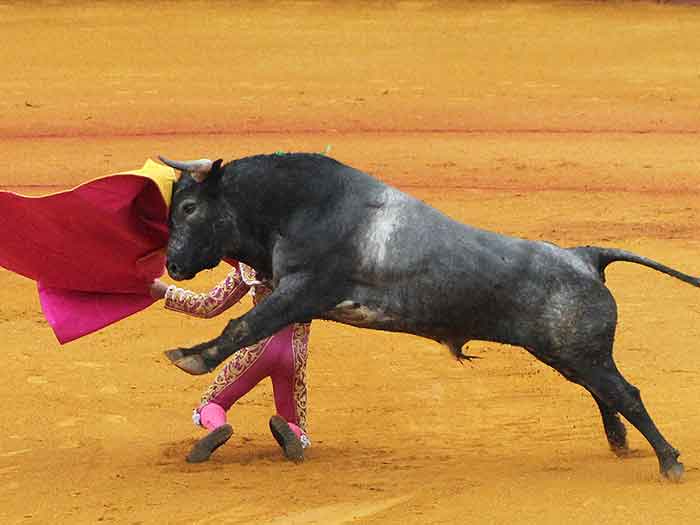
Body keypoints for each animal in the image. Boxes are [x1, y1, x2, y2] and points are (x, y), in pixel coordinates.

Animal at [159, 151, 700, 478]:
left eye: (188, 207)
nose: (173, 264)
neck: (297, 206)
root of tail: (584, 256)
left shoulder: (303, 288)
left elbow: (243, 325)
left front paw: (190, 356)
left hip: (579, 351)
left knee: (625, 393)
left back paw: (669, 462)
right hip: (568, 354)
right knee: (603, 392)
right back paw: (621, 443)